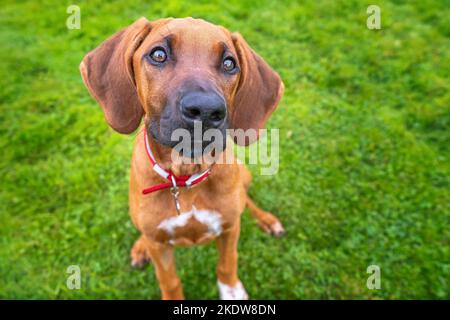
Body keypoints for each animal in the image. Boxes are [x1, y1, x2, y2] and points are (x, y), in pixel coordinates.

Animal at [80, 16, 284, 298]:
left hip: (245, 176)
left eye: (229, 63)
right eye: (158, 54)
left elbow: (227, 263)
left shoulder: (229, 229)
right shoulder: (160, 246)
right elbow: (169, 280)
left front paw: (231, 289)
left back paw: (266, 219)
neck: (185, 175)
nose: (206, 111)